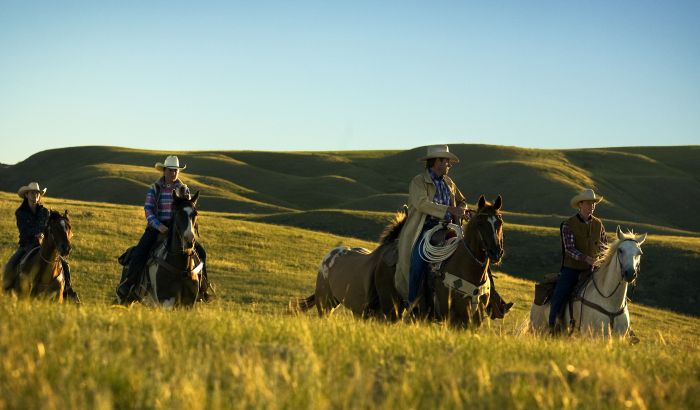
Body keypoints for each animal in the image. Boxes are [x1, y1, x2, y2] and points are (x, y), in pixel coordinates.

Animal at [290, 196, 504, 330]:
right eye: (480, 223)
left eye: (499, 222)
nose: (496, 252)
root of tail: (328, 257)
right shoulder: (449, 315)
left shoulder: (473, 319)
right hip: (327, 305)